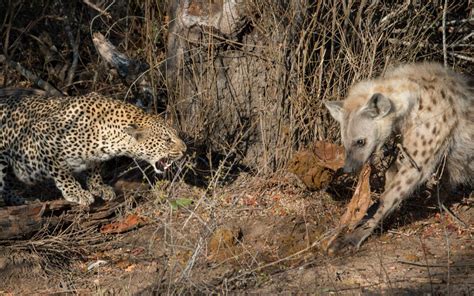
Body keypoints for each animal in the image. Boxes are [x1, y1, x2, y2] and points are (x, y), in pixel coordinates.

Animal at [0, 90, 187, 206]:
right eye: (167, 140)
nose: (185, 150)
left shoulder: (95, 156)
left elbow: (95, 167)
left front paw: (98, 187)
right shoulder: (42, 134)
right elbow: (62, 172)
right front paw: (76, 192)